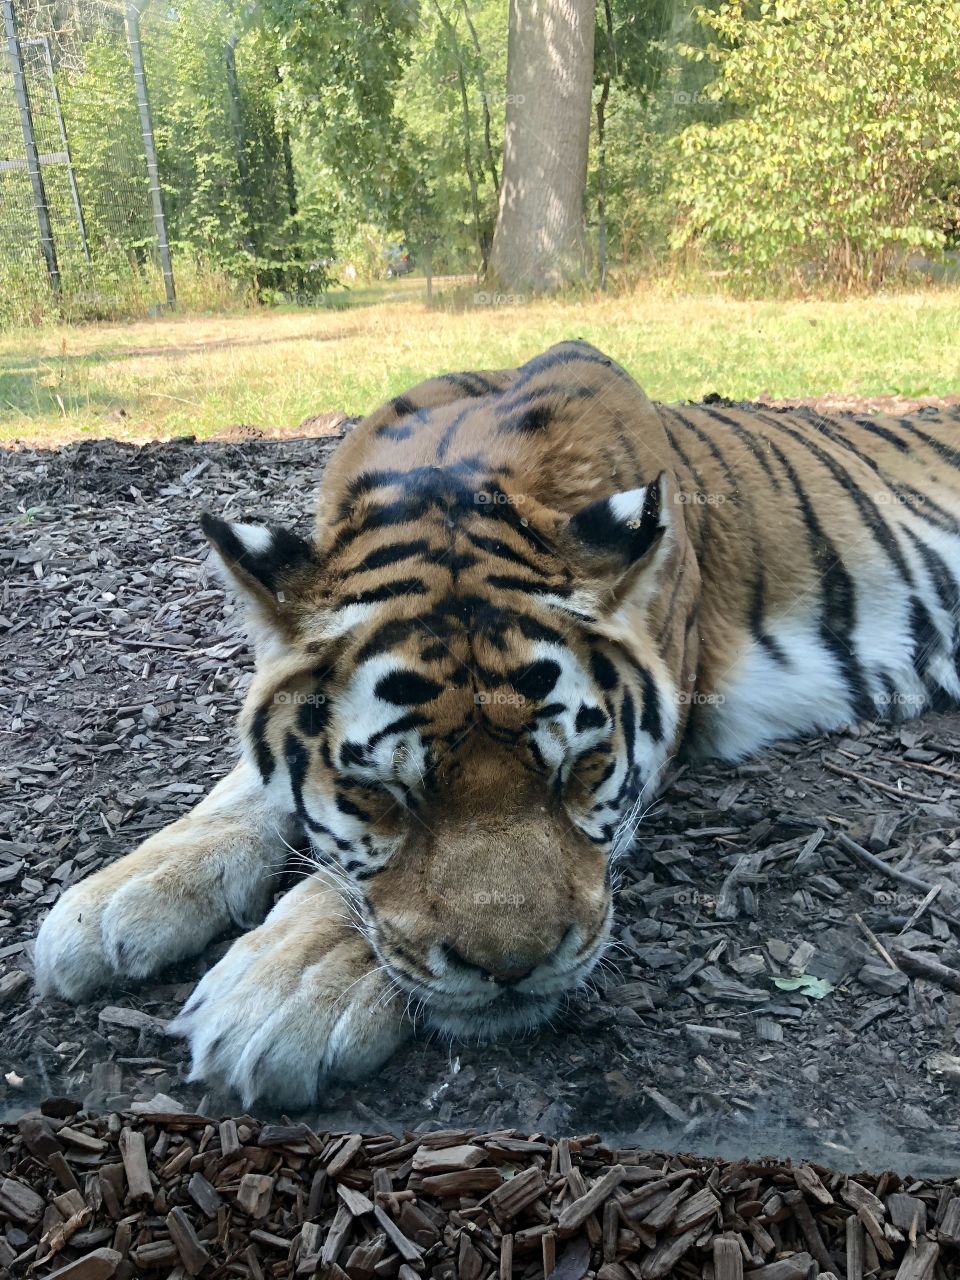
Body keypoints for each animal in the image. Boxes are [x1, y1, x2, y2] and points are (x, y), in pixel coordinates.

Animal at [34, 339, 960, 1109]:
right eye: (383, 795)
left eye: (579, 769)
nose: (514, 970)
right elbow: (249, 793)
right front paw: (117, 900)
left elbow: (338, 887)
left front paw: (286, 990)